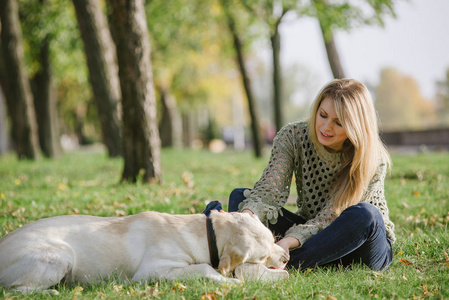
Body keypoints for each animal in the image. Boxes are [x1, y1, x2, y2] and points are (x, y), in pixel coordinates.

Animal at [0, 211, 288, 292]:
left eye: (274, 238)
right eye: (262, 258)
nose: (286, 258)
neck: (206, 233)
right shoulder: (152, 271)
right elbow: (205, 268)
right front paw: (231, 282)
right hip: (59, 256)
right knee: (16, 290)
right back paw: (51, 292)